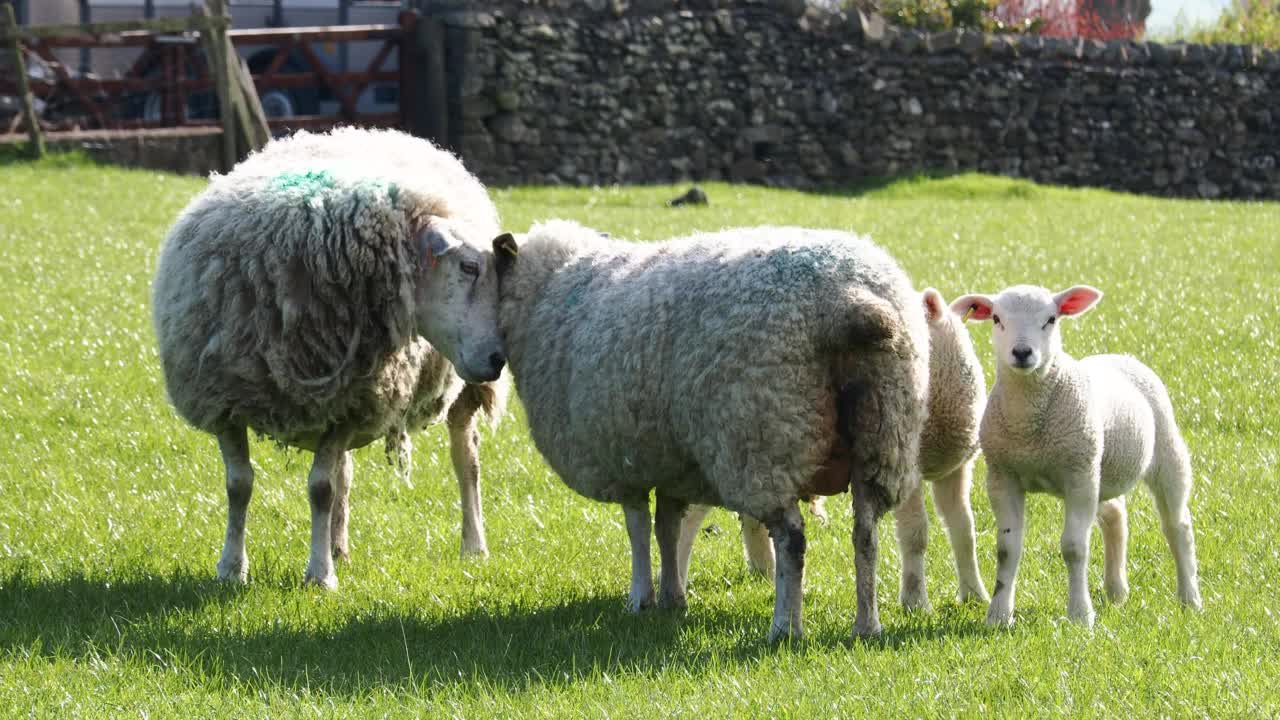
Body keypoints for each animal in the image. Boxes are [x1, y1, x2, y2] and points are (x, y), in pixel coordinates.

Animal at [152, 127, 506, 589]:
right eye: (467, 266)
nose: (498, 359)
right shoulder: (226, 402)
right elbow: (239, 485)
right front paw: (231, 567)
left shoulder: (347, 408)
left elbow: (320, 488)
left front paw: (319, 576)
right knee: (345, 474)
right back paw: (339, 546)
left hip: (457, 389)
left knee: (466, 460)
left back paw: (473, 546)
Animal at [491, 220, 931, 638]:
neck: (552, 290)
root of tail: (852, 299)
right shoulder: (670, 463)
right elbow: (666, 528)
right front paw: (672, 597)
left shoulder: (623, 460)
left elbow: (638, 529)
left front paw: (641, 599)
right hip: (883, 436)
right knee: (866, 534)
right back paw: (866, 625)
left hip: (764, 436)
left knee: (792, 540)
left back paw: (785, 628)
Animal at [680, 285, 988, 604]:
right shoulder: (906, 470)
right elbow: (916, 533)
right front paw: (915, 601)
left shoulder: (956, 470)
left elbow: (964, 530)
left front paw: (975, 595)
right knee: (689, 517)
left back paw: (764, 572)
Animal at [957, 283, 1203, 625]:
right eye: (996, 318)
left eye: (1051, 319)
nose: (1022, 353)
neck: (1029, 429)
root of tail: (1120, 355)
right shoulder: (1002, 476)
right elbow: (1006, 548)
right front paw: (998, 615)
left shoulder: (1078, 476)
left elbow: (1074, 547)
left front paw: (1080, 615)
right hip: (1099, 468)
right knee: (1115, 515)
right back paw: (1116, 592)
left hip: (1164, 453)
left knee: (1177, 525)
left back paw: (1190, 598)